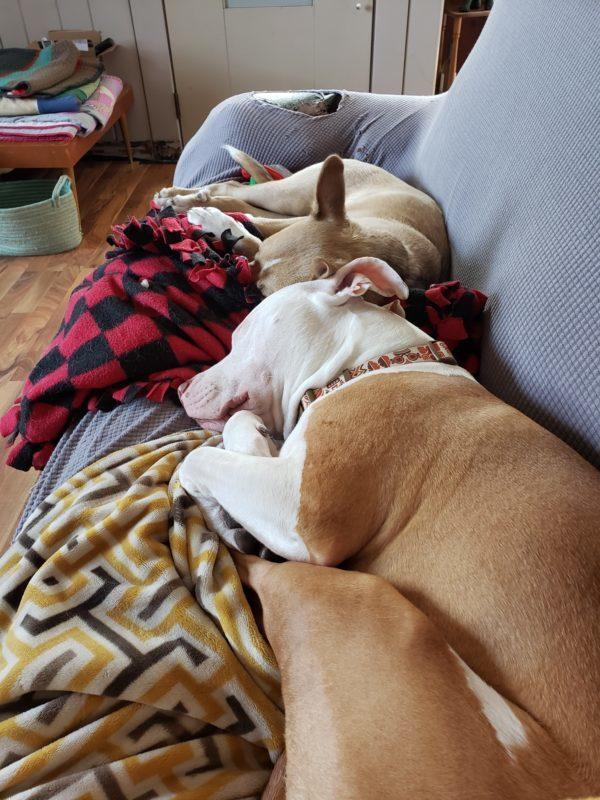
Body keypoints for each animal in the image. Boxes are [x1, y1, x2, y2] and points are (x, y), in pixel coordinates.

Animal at [152, 147, 448, 294]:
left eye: (262, 291)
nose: (237, 269)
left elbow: (251, 233)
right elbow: (251, 227)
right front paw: (211, 219)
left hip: (289, 207)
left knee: (236, 199)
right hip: (288, 197)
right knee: (232, 190)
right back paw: (177, 198)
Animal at [178, 258, 600, 800]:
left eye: (240, 334)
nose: (181, 389)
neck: (370, 362)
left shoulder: (303, 512)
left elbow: (203, 455)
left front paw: (231, 476)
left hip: (358, 604)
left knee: (261, 571)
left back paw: (233, 540)